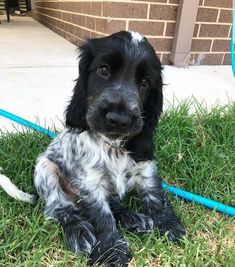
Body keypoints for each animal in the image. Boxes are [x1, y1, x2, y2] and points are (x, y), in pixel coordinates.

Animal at [2, 30, 185, 266]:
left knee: (114, 204)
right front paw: (111, 251)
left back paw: (132, 218)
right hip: (45, 169)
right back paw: (78, 231)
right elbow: (102, 217)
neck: (113, 145)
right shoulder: (90, 182)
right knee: (58, 208)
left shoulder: (145, 168)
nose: (119, 119)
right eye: (103, 70)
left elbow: (156, 197)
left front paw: (169, 226)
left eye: (145, 82)